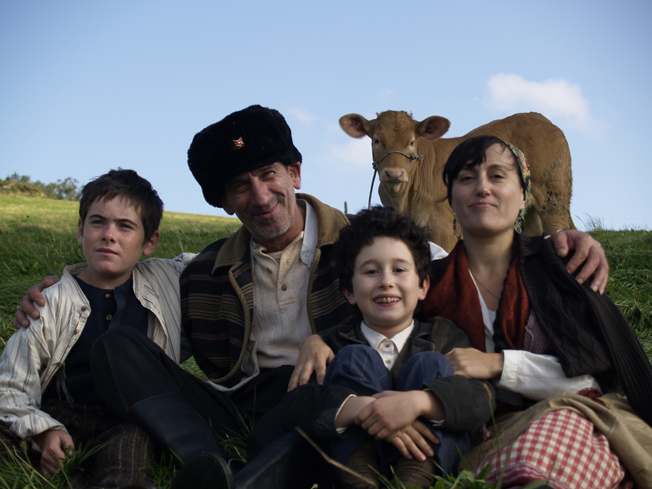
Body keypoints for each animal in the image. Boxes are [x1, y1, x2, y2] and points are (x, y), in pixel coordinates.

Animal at [340, 111, 575, 251]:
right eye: (377, 140)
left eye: (412, 142)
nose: (394, 174)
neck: (404, 201)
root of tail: (539, 117)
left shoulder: (445, 232)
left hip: (554, 201)